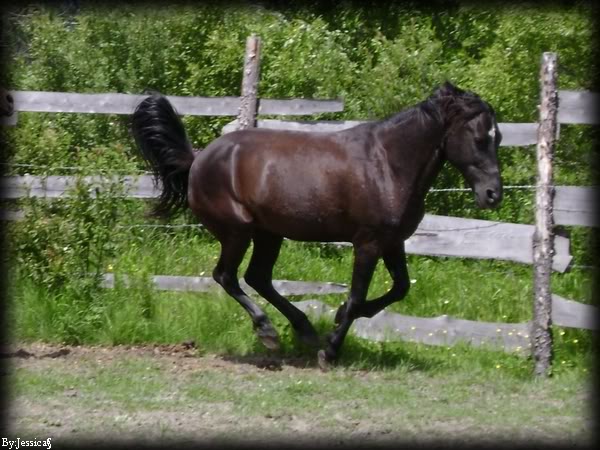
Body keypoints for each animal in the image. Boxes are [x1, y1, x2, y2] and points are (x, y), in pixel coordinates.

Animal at [131, 81, 502, 370]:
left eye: (497, 137)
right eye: (479, 138)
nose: (492, 194)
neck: (387, 164)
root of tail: (197, 159)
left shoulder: (393, 241)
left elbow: (399, 288)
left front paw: (335, 318)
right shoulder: (367, 242)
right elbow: (357, 295)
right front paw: (331, 349)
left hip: (269, 233)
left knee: (257, 277)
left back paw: (303, 329)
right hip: (237, 232)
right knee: (226, 276)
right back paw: (269, 332)